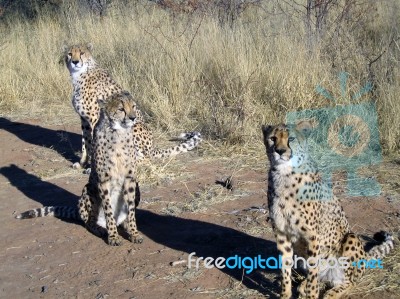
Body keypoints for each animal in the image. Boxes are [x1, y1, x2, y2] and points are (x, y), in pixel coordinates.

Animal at [17, 93, 202, 246]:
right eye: (121, 109)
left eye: (133, 106)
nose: (133, 118)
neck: (118, 134)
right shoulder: (103, 181)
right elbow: (108, 210)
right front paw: (113, 237)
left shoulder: (130, 179)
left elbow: (131, 212)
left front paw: (134, 233)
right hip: (88, 190)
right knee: (90, 222)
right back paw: (101, 229)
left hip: (136, 187)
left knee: (122, 216)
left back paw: (124, 225)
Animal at [260, 120, 396, 298]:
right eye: (273, 138)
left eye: (292, 139)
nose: (280, 151)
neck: (284, 174)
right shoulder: (282, 234)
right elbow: (285, 270)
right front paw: (285, 294)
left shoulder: (312, 236)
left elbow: (313, 274)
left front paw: (311, 295)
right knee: (320, 277)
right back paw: (303, 286)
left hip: (351, 239)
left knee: (348, 282)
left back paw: (329, 293)